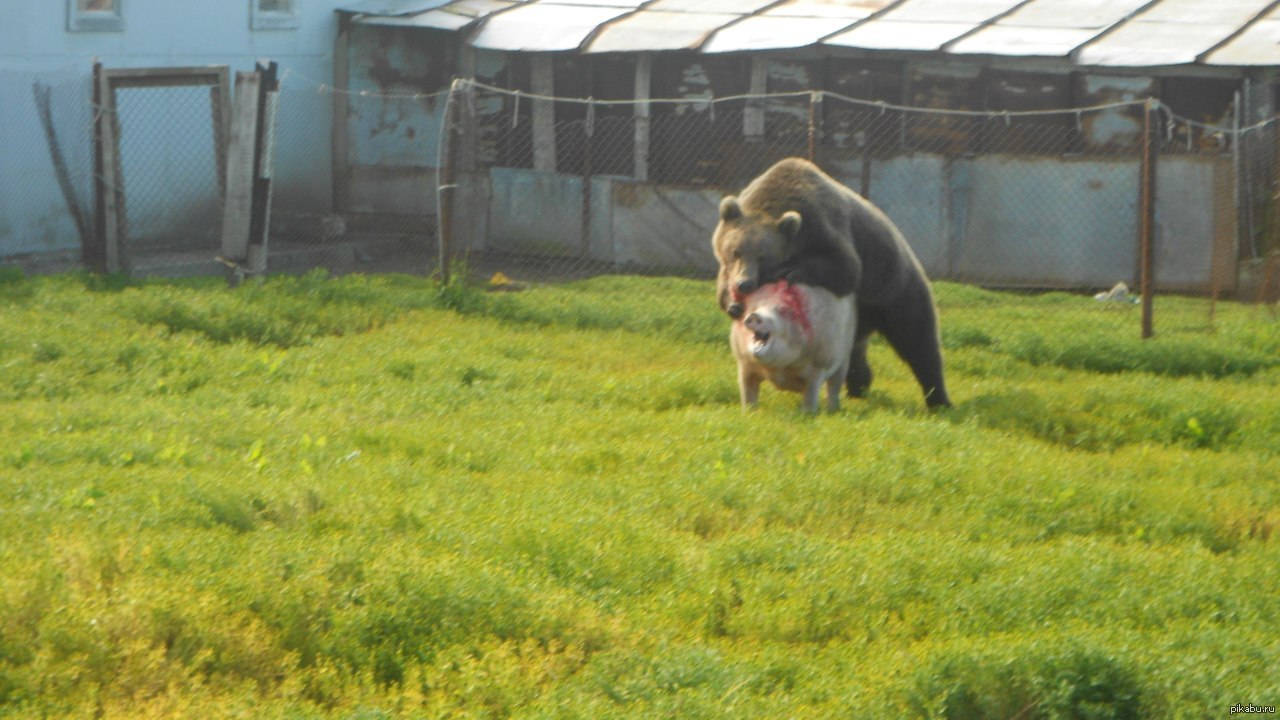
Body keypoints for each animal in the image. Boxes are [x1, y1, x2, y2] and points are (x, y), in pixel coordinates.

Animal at [711, 155, 952, 407]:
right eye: (735, 251)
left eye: (762, 256)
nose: (744, 284)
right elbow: (722, 281)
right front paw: (733, 304)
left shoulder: (825, 227)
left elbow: (845, 267)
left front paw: (790, 271)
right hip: (860, 315)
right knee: (855, 350)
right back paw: (859, 385)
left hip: (891, 287)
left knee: (918, 339)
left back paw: (939, 399)